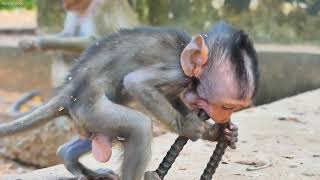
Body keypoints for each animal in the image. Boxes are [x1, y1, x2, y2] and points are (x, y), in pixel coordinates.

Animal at [0, 21, 258, 179]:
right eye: (225, 106)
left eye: (233, 108)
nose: (224, 116)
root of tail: (69, 91)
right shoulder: (177, 73)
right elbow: (137, 83)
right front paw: (192, 127)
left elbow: (172, 98)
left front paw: (218, 132)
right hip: (90, 108)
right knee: (139, 126)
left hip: (86, 117)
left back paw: (70, 157)